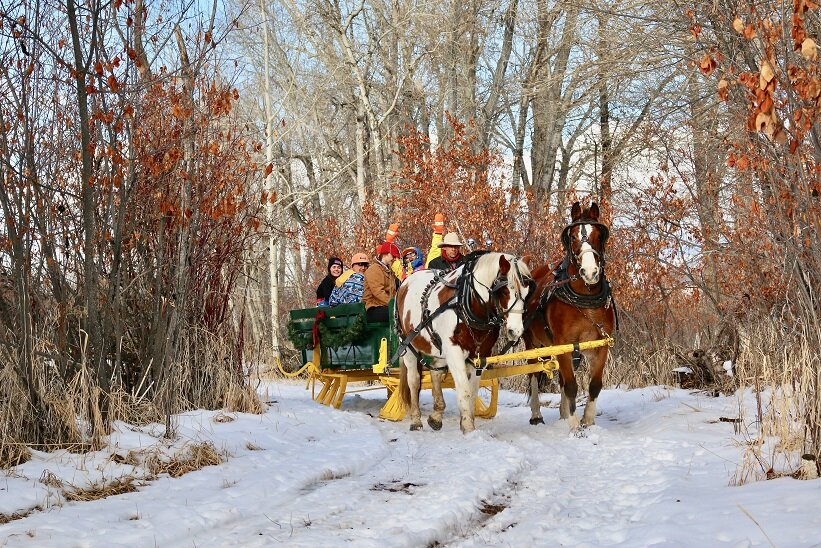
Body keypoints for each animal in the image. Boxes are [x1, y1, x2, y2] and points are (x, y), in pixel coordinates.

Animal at [395, 252, 533, 433]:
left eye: (527, 292)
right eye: (504, 291)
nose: (515, 331)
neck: (466, 304)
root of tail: (406, 282)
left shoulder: (480, 356)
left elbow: (473, 392)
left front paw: (468, 423)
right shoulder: (454, 351)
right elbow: (464, 390)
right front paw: (467, 428)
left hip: (437, 348)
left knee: (436, 373)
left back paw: (436, 415)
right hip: (408, 345)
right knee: (414, 381)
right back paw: (416, 420)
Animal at [523, 202, 616, 429]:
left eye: (598, 235)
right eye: (572, 236)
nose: (590, 272)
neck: (584, 297)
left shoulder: (599, 345)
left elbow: (594, 385)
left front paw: (587, 420)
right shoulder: (563, 343)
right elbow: (572, 385)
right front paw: (574, 425)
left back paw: (563, 413)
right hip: (533, 343)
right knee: (534, 374)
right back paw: (537, 414)